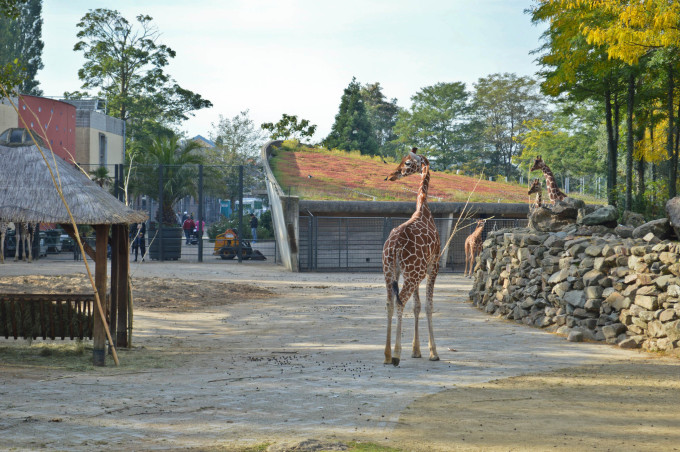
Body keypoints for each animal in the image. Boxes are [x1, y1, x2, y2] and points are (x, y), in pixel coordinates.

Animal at [382, 147, 440, 366]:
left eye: (407, 162)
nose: (390, 176)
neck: (423, 208)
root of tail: (394, 246)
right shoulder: (433, 266)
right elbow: (429, 306)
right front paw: (433, 352)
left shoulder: (419, 272)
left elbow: (417, 305)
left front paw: (416, 350)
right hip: (412, 273)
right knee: (400, 301)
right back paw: (396, 354)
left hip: (389, 271)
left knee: (390, 303)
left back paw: (387, 355)